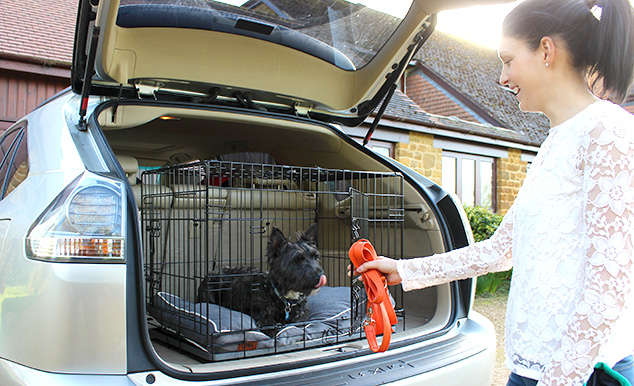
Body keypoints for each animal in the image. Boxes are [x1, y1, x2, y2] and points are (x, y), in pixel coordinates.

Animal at [196, 223, 326, 328]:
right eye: (297, 260)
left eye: (315, 257)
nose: (320, 277)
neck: (284, 298)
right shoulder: (258, 311)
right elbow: (268, 320)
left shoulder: (302, 315)